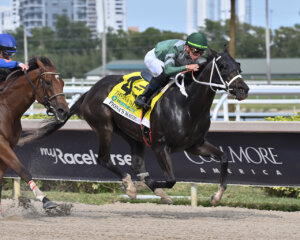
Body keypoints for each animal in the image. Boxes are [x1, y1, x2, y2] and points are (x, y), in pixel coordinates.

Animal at [0, 56, 69, 214]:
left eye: (62, 82)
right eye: (48, 82)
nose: (63, 111)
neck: (6, 109)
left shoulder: (9, 146)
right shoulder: (2, 145)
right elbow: (22, 170)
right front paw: (46, 200)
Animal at [19, 48, 248, 204]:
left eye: (238, 66)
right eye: (223, 67)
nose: (243, 89)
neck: (187, 104)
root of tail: (90, 91)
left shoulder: (194, 145)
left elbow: (224, 158)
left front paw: (216, 196)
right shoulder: (160, 146)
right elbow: (171, 179)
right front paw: (150, 186)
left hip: (132, 134)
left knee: (136, 164)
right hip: (105, 127)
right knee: (103, 159)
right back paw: (130, 186)